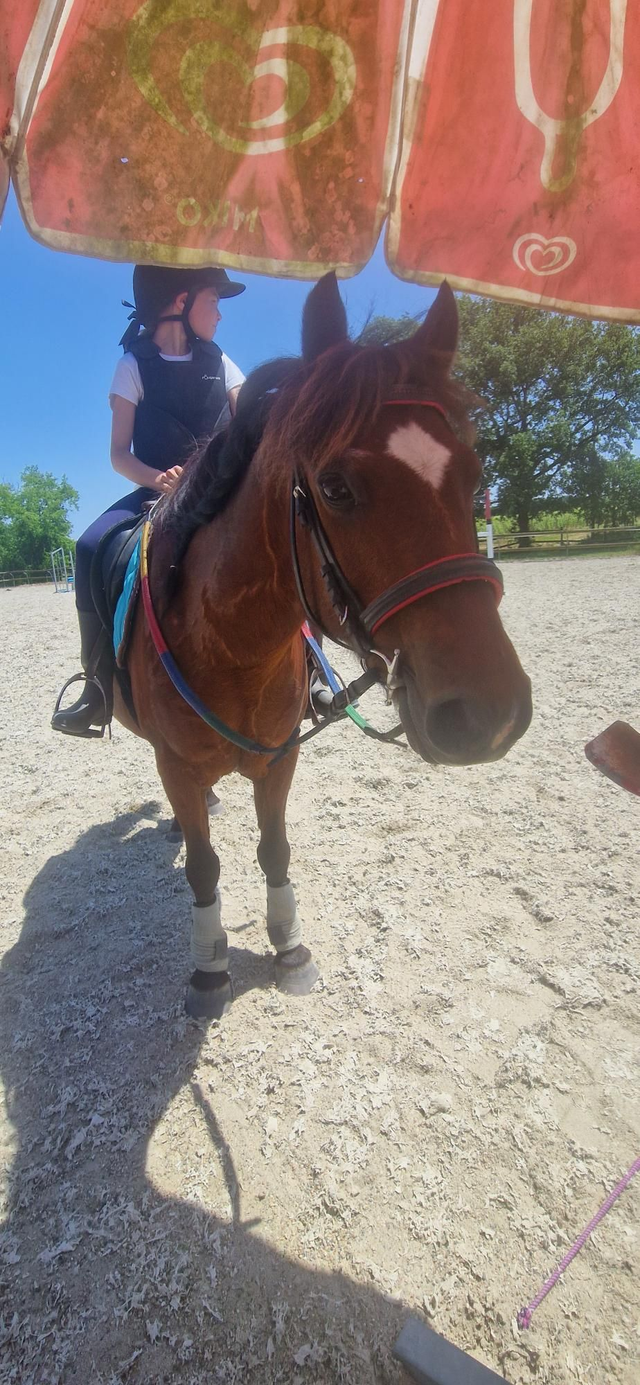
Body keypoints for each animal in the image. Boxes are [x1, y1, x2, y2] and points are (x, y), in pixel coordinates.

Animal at [114, 274, 532, 1019]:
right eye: (335, 488)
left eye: (472, 473)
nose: (492, 714)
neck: (233, 645)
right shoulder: (179, 767)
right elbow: (204, 866)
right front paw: (209, 969)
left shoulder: (280, 759)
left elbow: (275, 850)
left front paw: (290, 948)